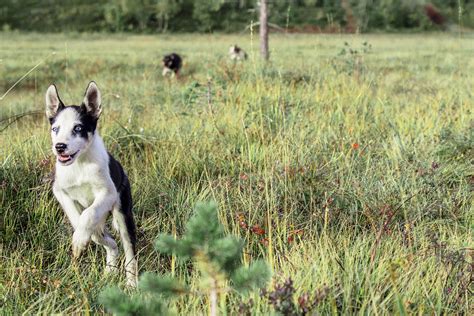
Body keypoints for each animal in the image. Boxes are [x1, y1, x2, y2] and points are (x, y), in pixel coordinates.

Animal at [45, 81, 138, 286]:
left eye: (78, 128)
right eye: (55, 129)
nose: (59, 147)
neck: (79, 164)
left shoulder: (108, 193)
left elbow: (88, 214)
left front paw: (80, 239)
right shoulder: (60, 191)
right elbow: (77, 216)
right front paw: (80, 238)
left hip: (123, 212)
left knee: (129, 250)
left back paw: (132, 283)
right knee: (109, 241)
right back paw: (110, 268)